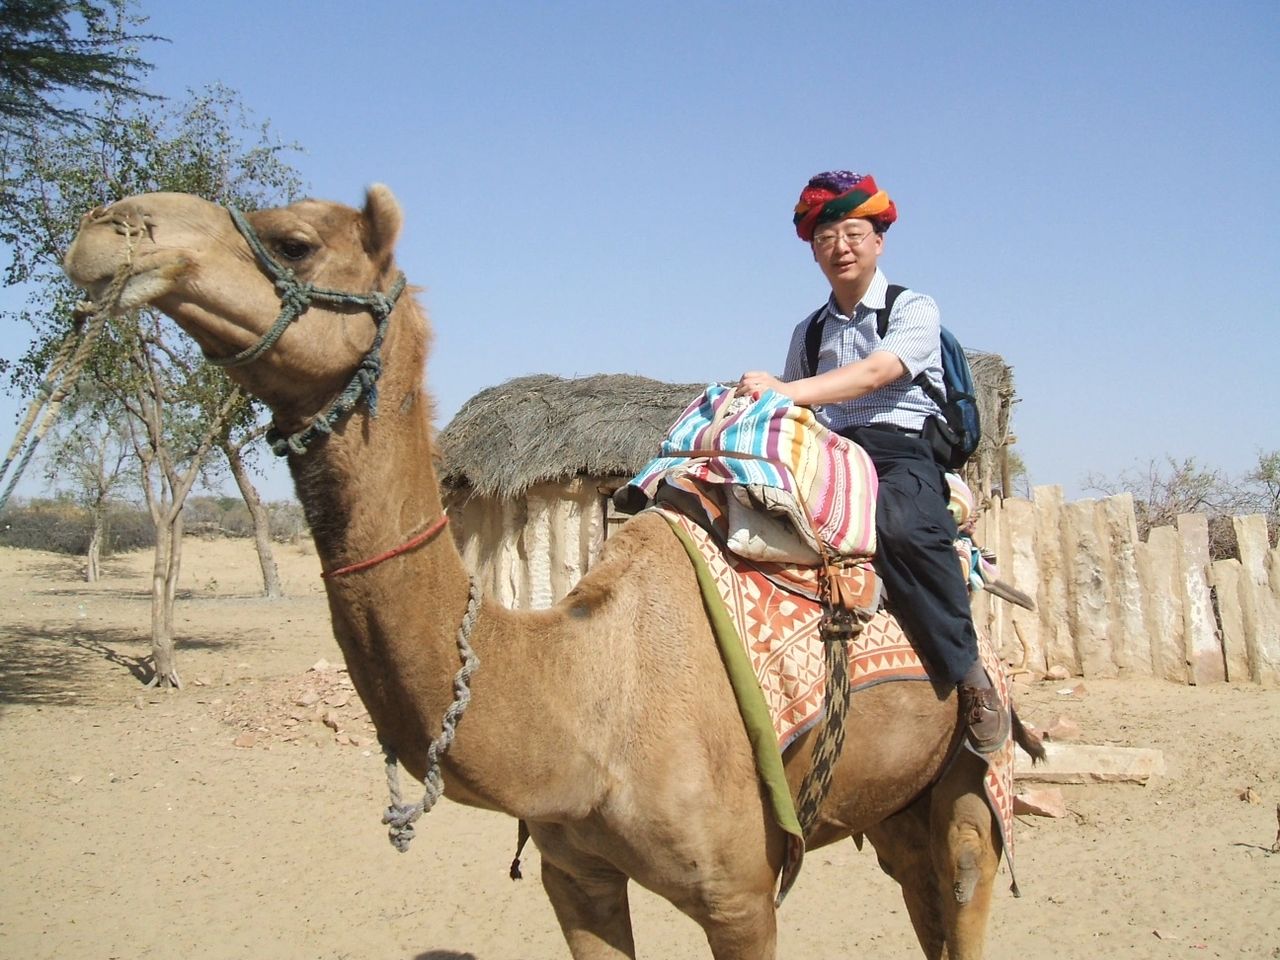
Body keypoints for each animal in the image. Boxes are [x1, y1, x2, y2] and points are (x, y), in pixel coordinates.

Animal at [64, 186, 1039, 960]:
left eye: (295, 240)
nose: (109, 228)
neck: (592, 691)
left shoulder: (741, 895)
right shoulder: (575, 878)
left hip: (967, 787)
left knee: (964, 884)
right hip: (889, 801)